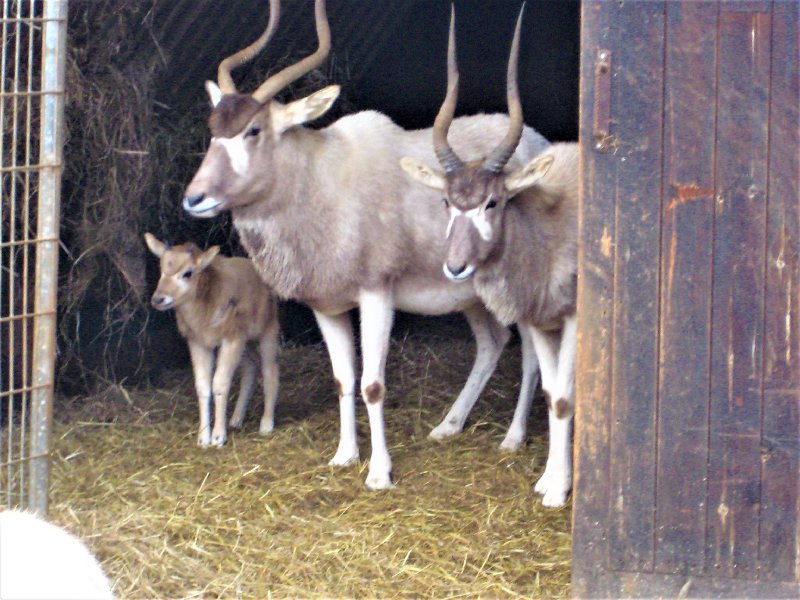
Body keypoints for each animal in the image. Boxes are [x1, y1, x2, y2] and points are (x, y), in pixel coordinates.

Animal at [145, 233, 280, 446]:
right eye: (161, 269)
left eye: (188, 273)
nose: (158, 299)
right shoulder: (198, 342)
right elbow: (202, 386)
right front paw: (203, 437)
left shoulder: (231, 338)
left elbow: (219, 384)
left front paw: (217, 437)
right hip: (244, 342)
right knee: (250, 367)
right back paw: (236, 418)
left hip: (268, 329)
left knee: (270, 371)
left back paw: (266, 424)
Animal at [181, 0, 552, 488]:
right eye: (213, 128)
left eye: (253, 130)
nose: (195, 198)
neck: (322, 180)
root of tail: (539, 143)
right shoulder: (327, 307)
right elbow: (343, 378)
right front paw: (344, 455)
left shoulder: (377, 294)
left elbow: (372, 384)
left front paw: (379, 473)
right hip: (467, 292)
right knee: (492, 342)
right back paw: (448, 425)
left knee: (527, 354)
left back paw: (512, 437)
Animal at [404, 9, 580, 506]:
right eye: (447, 201)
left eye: (493, 202)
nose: (456, 266)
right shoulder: (540, 320)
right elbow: (554, 392)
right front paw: (550, 480)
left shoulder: (574, 318)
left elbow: (565, 395)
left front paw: (558, 492)